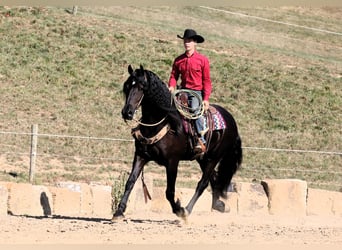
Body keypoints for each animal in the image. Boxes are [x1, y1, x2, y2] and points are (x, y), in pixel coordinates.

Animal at [113, 65, 242, 221]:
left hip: (214, 157)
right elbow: (130, 182)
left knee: (203, 183)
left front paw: (179, 209)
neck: (164, 122)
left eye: (142, 87)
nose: (127, 112)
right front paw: (119, 212)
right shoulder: (140, 156)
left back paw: (187, 210)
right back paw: (218, 205)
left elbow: (169, 191)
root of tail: (231, 120)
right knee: (213, 179)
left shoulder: (172, 161)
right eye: (127, 86)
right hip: (203, 158)